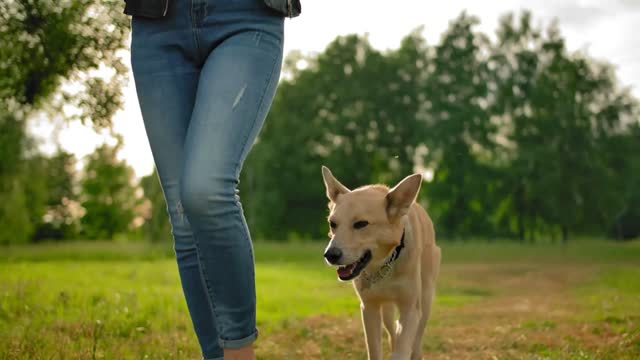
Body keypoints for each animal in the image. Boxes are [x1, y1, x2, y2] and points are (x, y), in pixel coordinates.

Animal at [320, 167, 440, 360]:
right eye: (333, 224)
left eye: (361, 224)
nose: (330, 254)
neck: (384, 265)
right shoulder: (369, 308)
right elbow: (376, 349)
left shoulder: (410, 308)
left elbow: (403, 346)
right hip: (387, 309)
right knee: (392, 331)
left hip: (426, 297)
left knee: (417, 336)